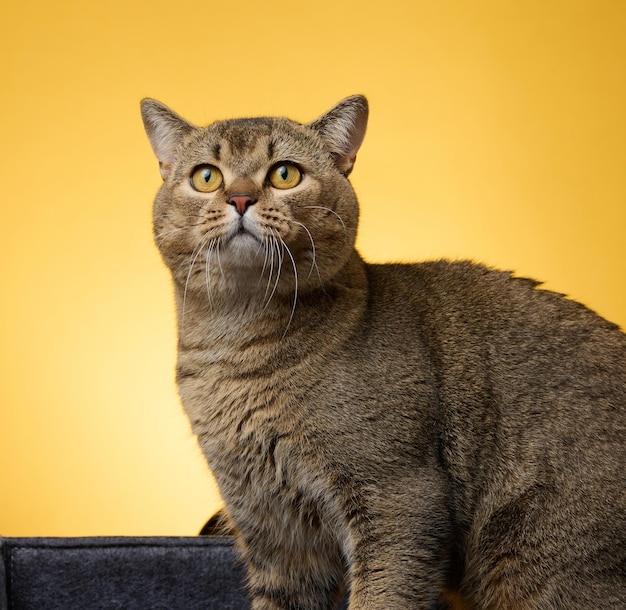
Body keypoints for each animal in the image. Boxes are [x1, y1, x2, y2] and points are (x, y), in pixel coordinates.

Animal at [141, 96, 624, 608]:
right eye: (206, 177)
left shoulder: (399, 498)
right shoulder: (274, 529)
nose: (240, 198)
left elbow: (383, 593)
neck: (237, 355)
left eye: (285, 174)